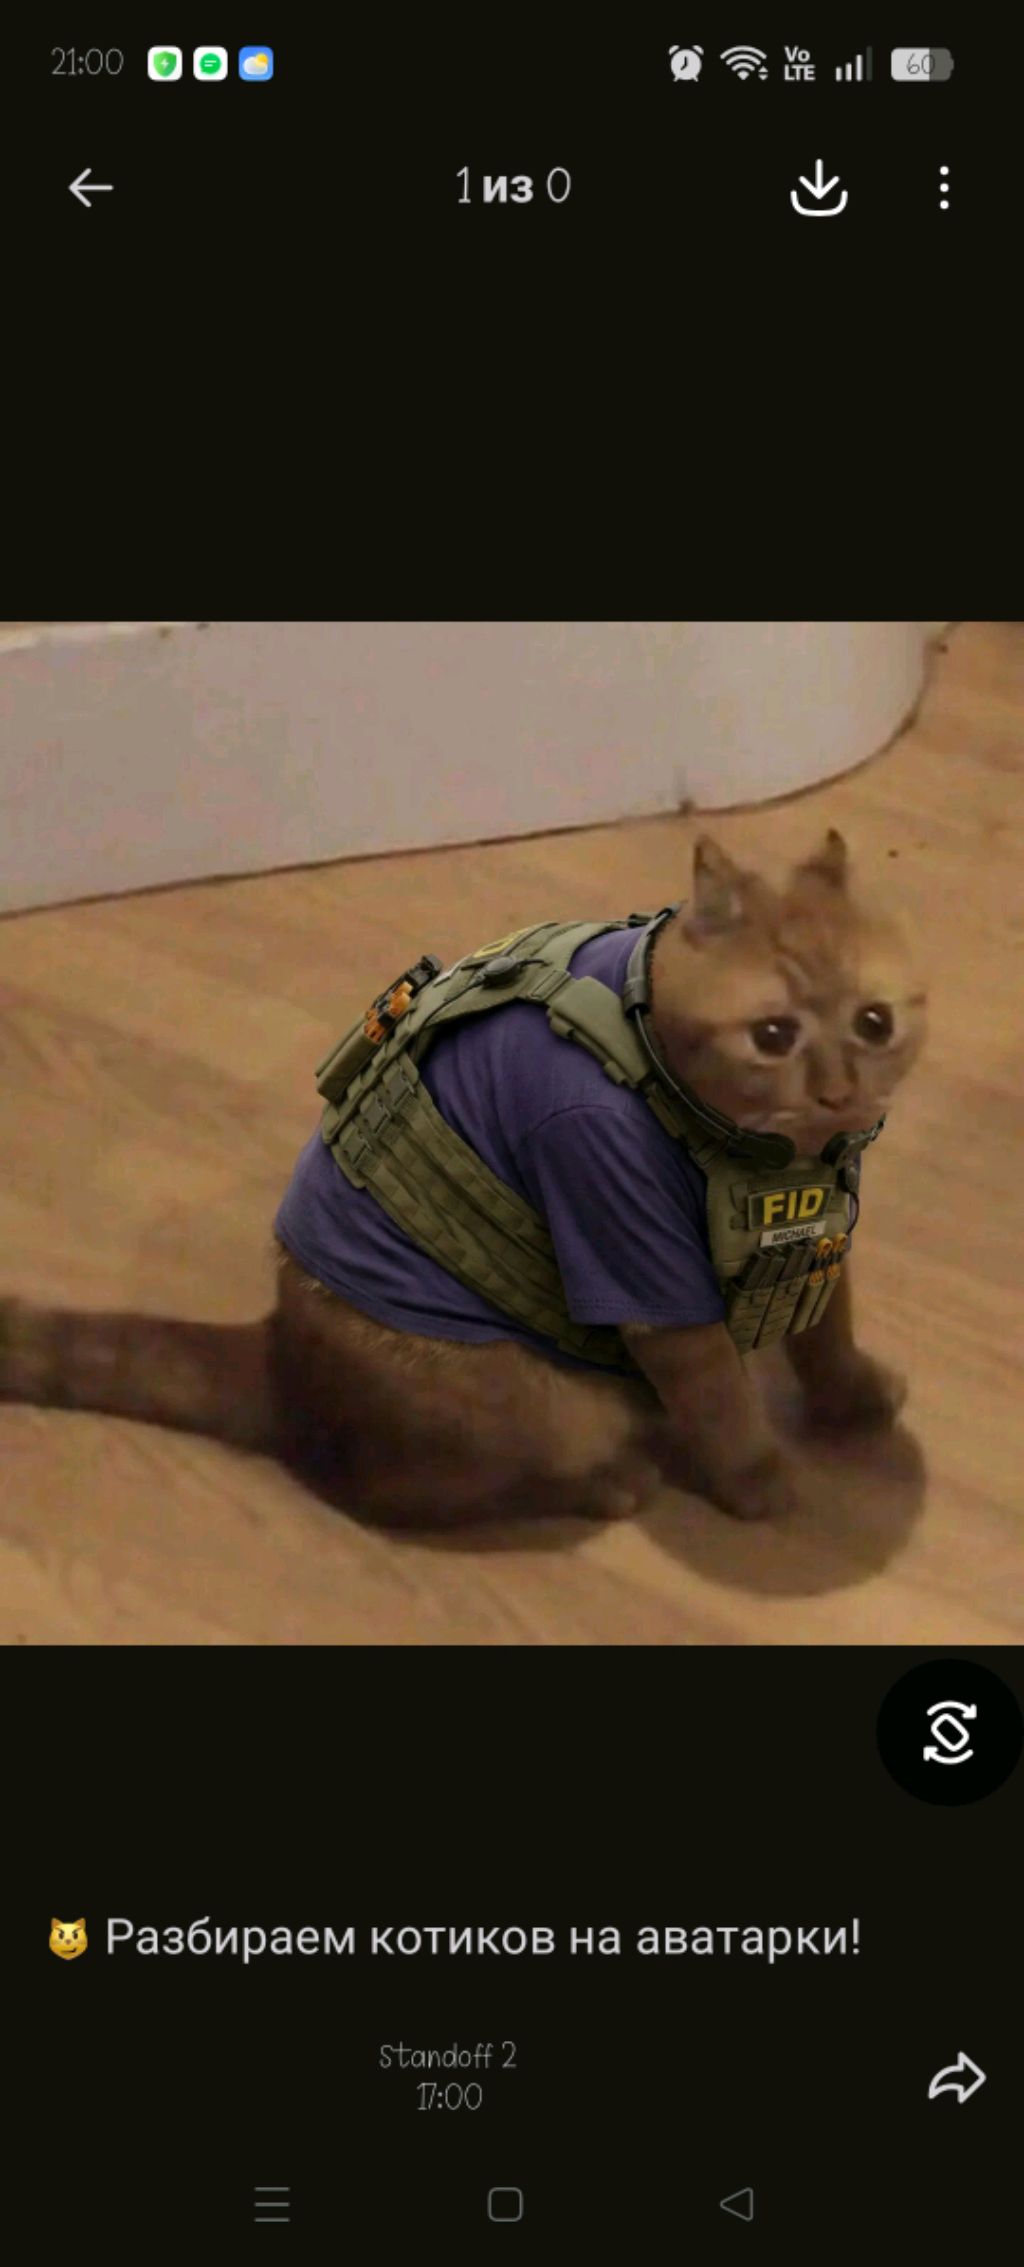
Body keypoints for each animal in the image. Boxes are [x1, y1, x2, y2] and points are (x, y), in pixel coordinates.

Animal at [0, 831, 926, 1527]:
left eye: (874, 1022)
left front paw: (850, 1397)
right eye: (773, 1035)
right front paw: (759, 1478)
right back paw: (610, 1482)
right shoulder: (650, 1280)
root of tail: (280, 1354)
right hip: (560, 1408)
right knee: (407, 1489)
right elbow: (724, 1403)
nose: (839, 1089)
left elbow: (827, 1333)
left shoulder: (817, 1236)